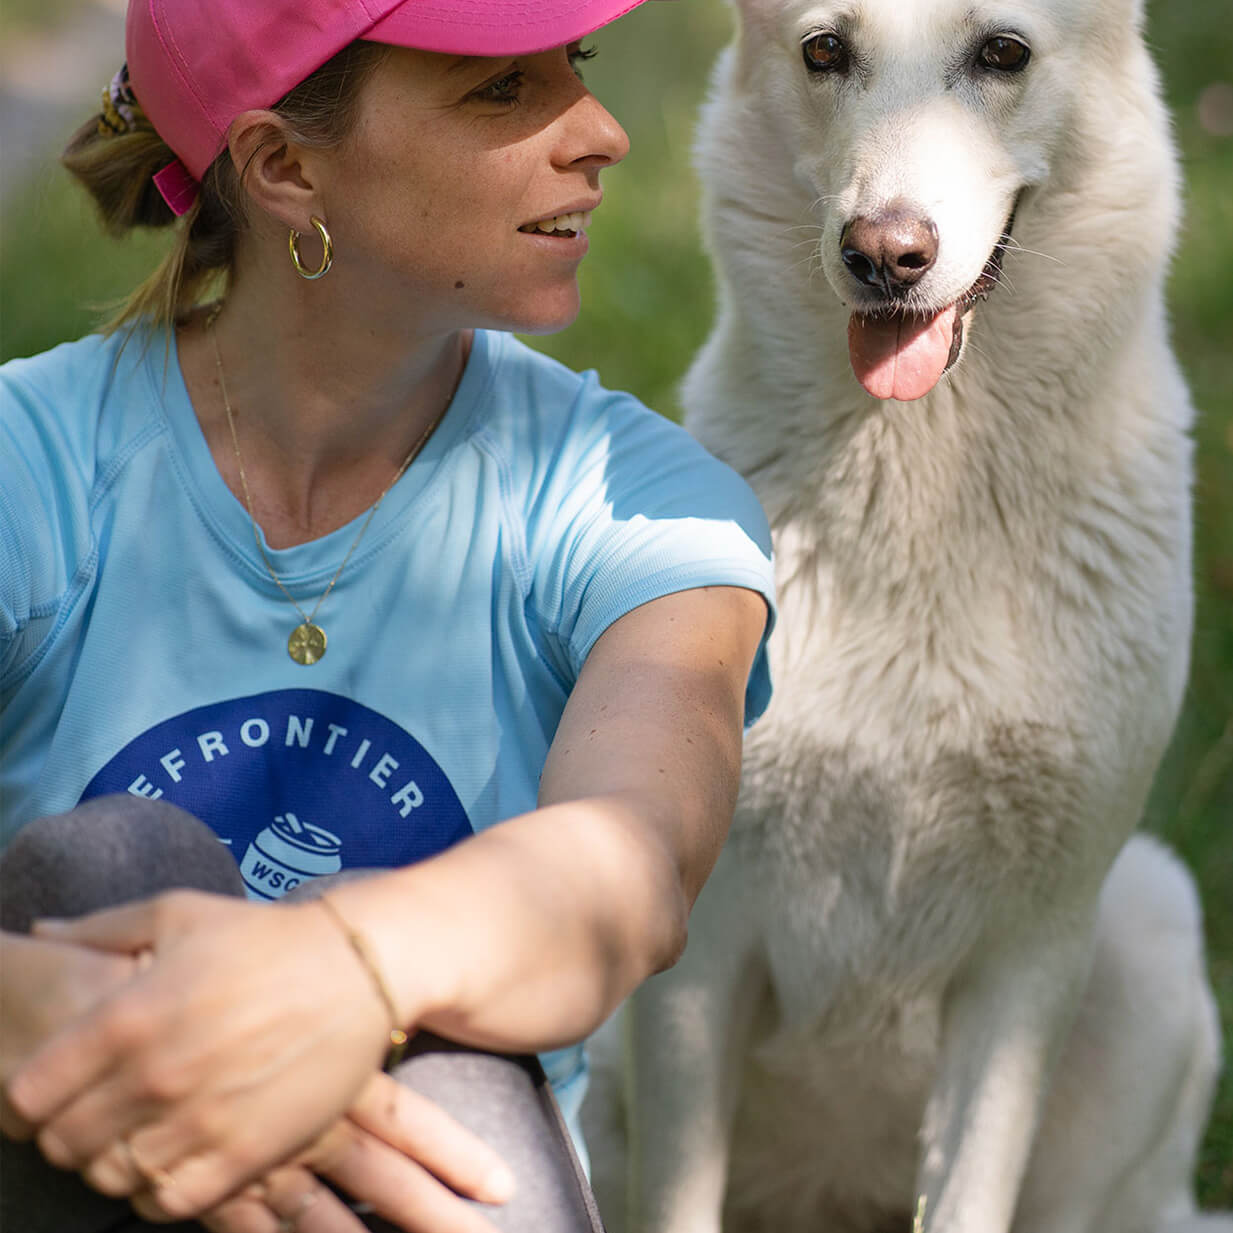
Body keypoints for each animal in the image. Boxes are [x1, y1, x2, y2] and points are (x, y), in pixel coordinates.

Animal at [581, 2, 1228, 1233]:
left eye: (1003, 54)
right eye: (825, 51)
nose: (884, 257)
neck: (921, 469)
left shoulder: (1028, 959)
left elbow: (972, 1185)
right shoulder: (699, 954)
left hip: (1151, 932)